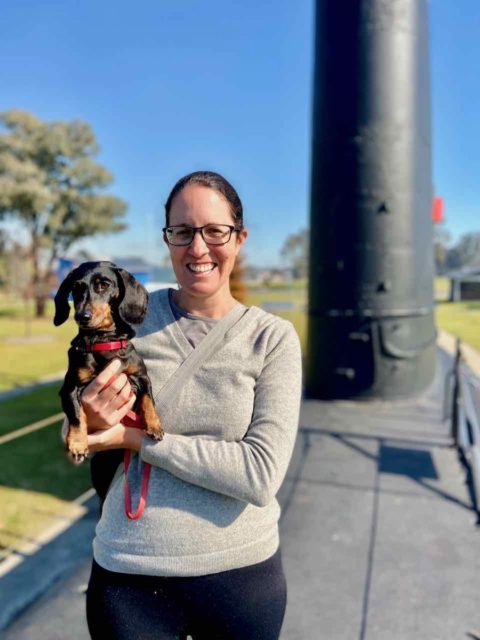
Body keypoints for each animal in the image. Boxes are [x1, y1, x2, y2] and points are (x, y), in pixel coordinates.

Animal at [54, 262, 163, 464]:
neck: (103, 341)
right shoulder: (69, 388)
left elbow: (148, 401)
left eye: (103, 285)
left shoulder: (141, 377)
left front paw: (155, 425)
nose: (82, 316)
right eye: (75, 288)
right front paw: (77, 444)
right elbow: (76, 415)